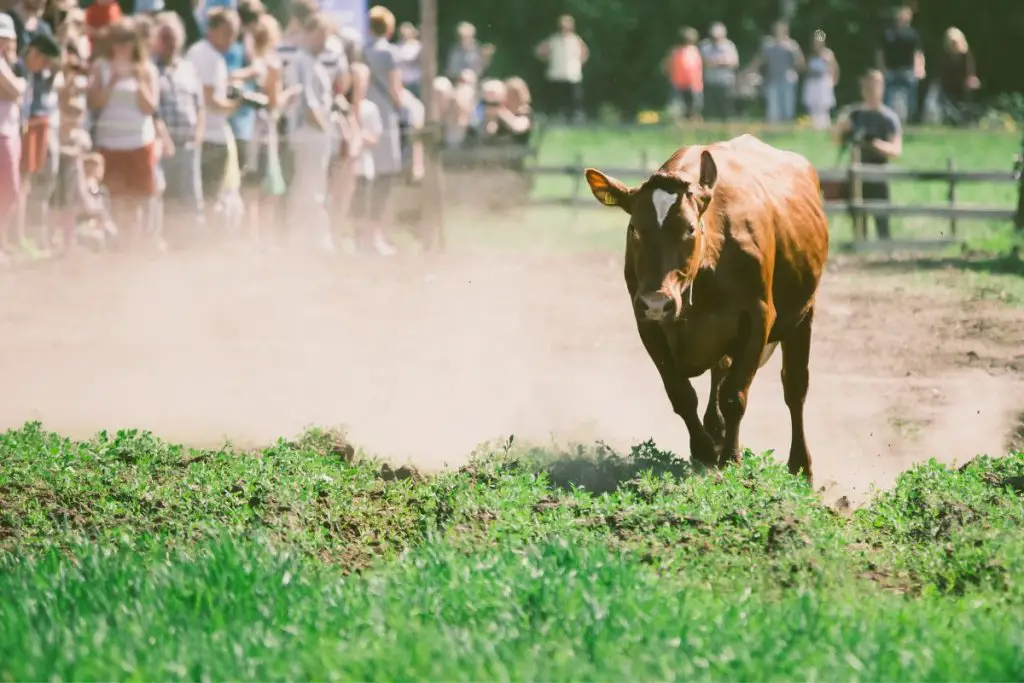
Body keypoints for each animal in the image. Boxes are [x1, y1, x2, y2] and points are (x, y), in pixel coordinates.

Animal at [585, 131, 831, 479]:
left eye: (689, 229)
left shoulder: (758, 318)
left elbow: (734, 395)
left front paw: (730, 459)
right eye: (635, 229)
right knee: (720, 372)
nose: (658, 301)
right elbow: (682, 394)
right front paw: (703, 451)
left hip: (803, 314)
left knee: (794, 389)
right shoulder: (646, 322)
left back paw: (800, 466)